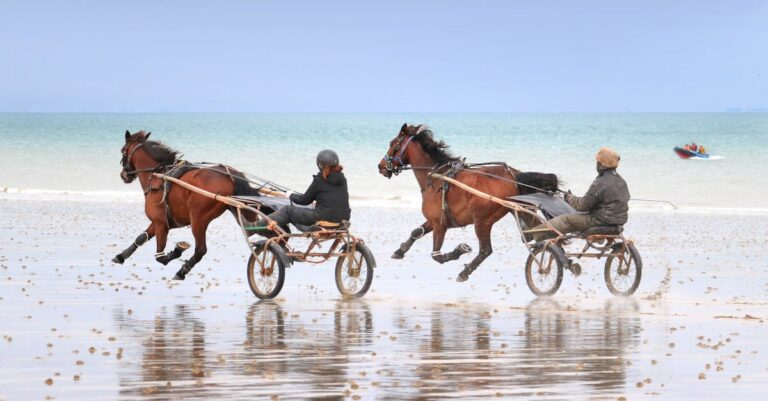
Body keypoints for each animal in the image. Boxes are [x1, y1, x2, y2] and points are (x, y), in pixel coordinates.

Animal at [113, 130, 266, 280]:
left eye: (123, 151)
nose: (123, 175)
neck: (158, 176)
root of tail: (230, 176)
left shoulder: (161, 223)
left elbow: (160, 257)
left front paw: (177, 251)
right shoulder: (158, 222)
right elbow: (141, 238)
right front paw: (121, 256)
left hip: (198, 220)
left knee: (200, 250)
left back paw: (182, 271)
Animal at [378, 124, 558, 282]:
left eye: (392, 144)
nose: (380, 166)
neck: (437, 176)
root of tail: (513, 175)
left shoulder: (439, 224)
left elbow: (437, 256)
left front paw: (458, 251)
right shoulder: (435, 220)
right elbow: (416, 232)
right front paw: (400, 251)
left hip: (482, 221)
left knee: (485, 250)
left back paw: (465, 272)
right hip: (522, 212)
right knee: (545, 235)